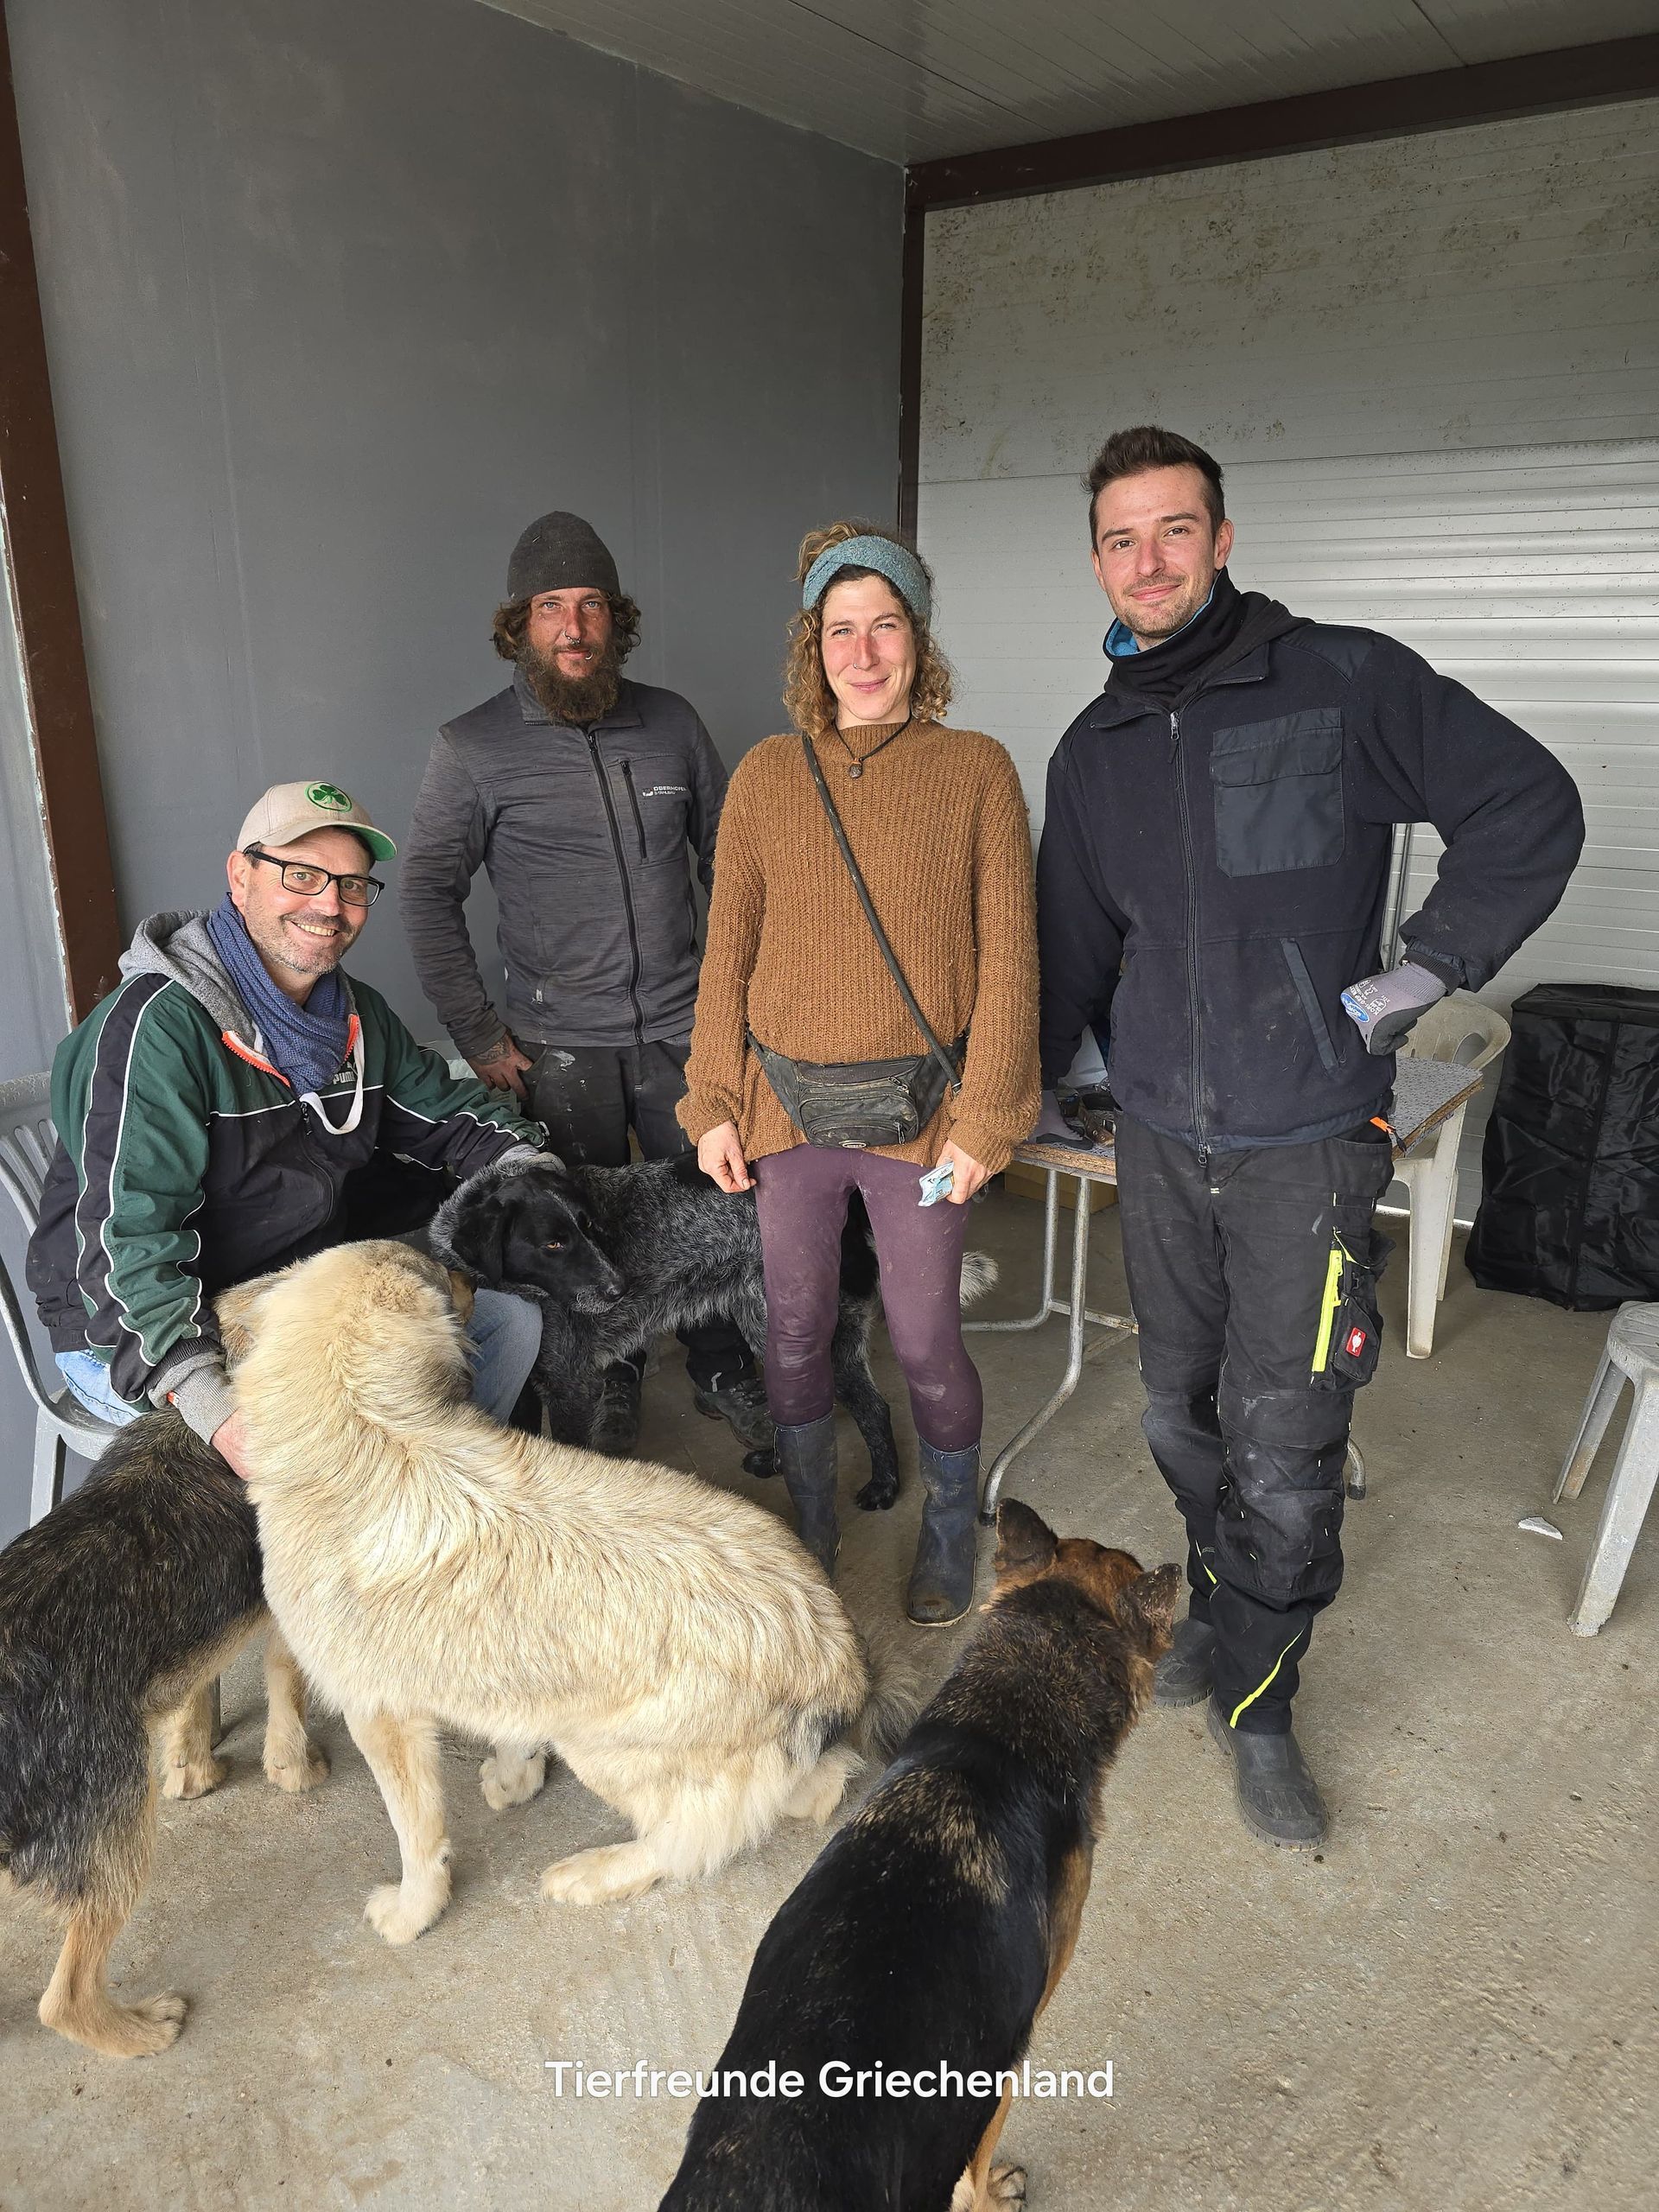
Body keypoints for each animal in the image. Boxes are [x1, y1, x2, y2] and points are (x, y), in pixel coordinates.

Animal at [0, 1407, 326, 2059]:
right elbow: (287, 1689)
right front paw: (295, 1769)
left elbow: (192, 1701)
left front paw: (193, 1771)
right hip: (118, 1830)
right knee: (64, 1998)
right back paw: (141, 2030)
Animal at [232, 1239, 911, 1941]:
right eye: (437, 1269)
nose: (471, 1275)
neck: (370, 1422)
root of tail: (840, 1658)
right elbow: (511, 1727)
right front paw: (516, 1777)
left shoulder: (381, 1715)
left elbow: (416, 1836)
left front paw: (413, 1912)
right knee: (808, 1788)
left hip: (599, 1746)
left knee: (693, 1839)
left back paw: (593, 1873)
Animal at [429, 1151, 996, 1506]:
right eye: (552, 1243)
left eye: (590, 1228)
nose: (619, 1288)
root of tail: (852, 1205)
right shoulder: (532, 1384)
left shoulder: (571, 1385)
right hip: (767, 1324)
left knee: (872, 1409)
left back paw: (883, 1488)